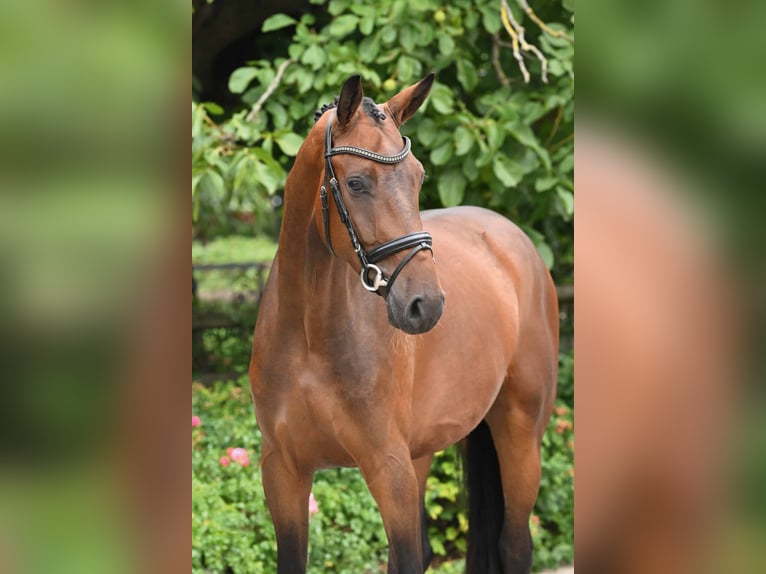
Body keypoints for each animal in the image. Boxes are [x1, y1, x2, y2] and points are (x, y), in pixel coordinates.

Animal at [249, 73, 559, 574]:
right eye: (356, 183)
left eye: (418, 177)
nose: (424, 304)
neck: (310, 335)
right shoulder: (283, 471)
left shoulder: (387, 468)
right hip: (423, 450)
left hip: (520, 432)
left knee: (514, 545)